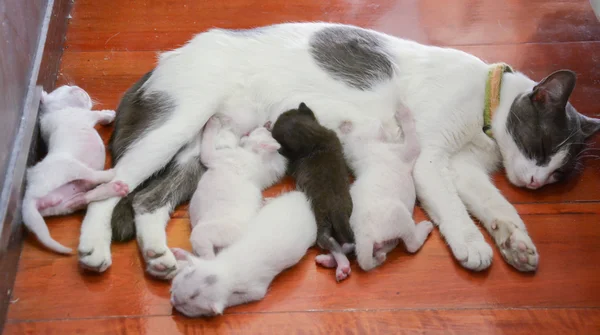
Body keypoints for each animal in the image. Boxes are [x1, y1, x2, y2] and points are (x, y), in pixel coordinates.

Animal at [21, 86, 127, 255]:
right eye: (66, 89)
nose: (78, 88)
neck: (53, 110)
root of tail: (29, 197)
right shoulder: (85, 115)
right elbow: (97, 114)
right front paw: (109, 114)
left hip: (63, 204)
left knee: (81, 198)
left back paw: (114, 189)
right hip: (71, 167)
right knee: (94, 176)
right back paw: (111, 176)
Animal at [170, 192, 316, 318]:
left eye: (186, 304)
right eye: (186, 276)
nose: (174, 299)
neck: (226, 269)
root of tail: (303, 201)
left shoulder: (255, 288)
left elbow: (248, 296)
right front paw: (179, 254)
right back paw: (267, 201)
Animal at [274, 103, 356, 284]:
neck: (315, 139)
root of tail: (337, 210)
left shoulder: (292, 164)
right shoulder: (332, 134)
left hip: (321, 221)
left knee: (330, 241)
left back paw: (341, 265)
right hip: (348, 213)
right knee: (349, 243)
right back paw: (330, 260)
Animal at [316, 109, 434, 272]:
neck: (363, 148)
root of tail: (363, 238)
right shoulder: (406, 150)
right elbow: (411, 134)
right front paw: (402, 111)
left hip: (380, 242)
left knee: (352, 249)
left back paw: (330, 261)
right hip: (399, 215)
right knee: (412, 245)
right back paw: (424, 228)